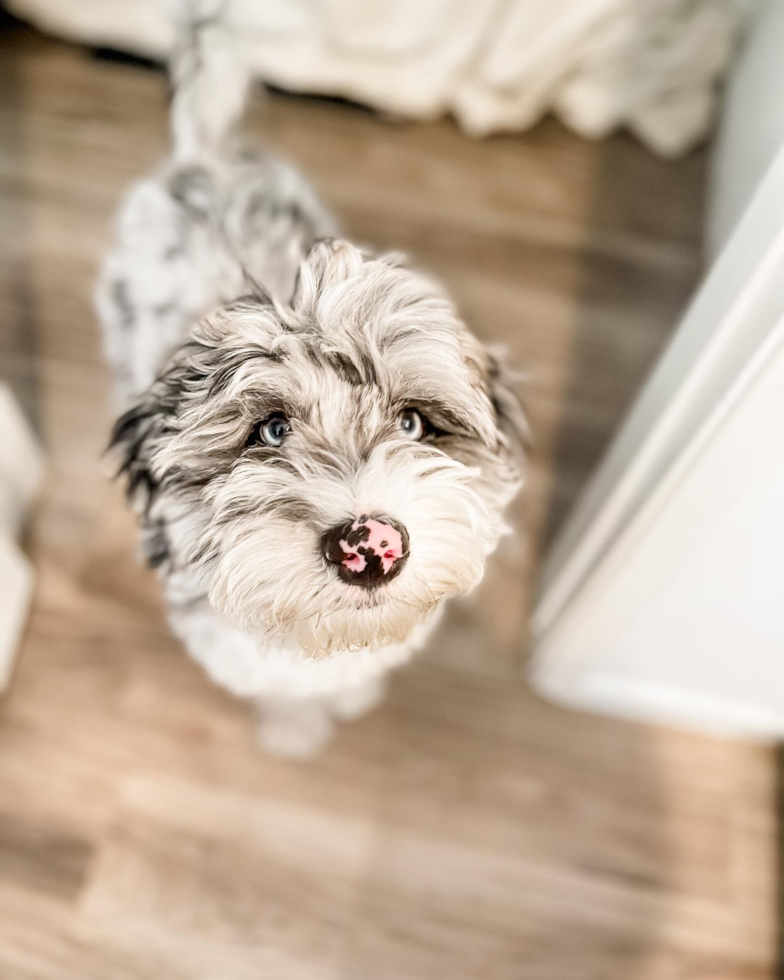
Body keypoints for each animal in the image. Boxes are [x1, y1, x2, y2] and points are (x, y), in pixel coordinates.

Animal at [98, 0, 528, 756]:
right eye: (270, 431)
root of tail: (206, 156)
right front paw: (295, 729)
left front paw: (351, 696)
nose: (370, 547)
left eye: (413, 422)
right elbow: (284, 690)